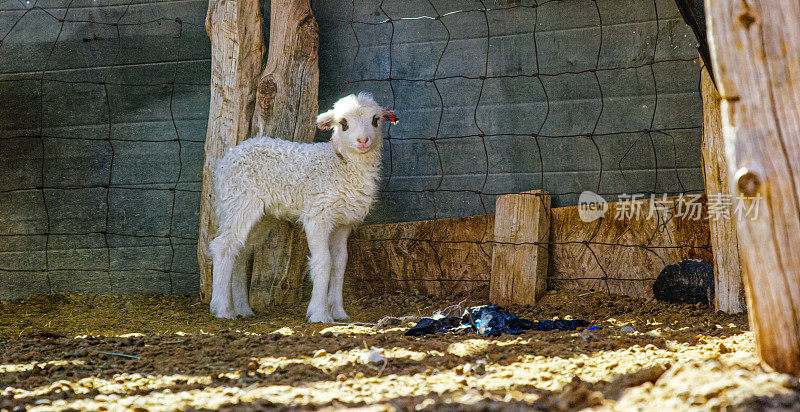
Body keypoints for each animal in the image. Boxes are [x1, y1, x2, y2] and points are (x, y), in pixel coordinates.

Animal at [206, 92, 394, 322]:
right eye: (343, 123)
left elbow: (340, 263)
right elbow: (324, 262)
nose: (363, 141)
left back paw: (242, 308)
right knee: (223, 247)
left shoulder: (343, 221)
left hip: (261, 216)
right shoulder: (318, 216)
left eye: (375, 120)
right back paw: (222, 308)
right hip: (238, 201)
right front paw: (320, 313)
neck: (341, 164)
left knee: (240, 250)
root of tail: (228, 156)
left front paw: (338, 312)